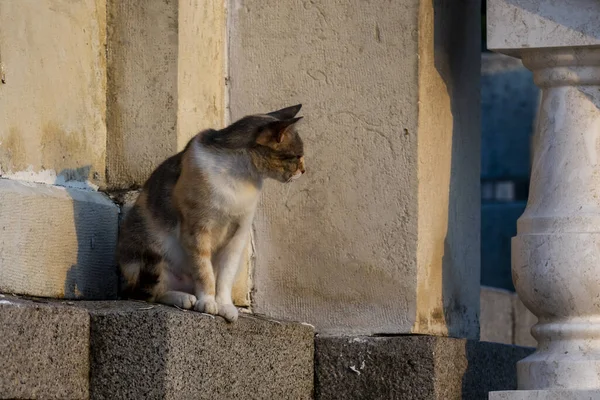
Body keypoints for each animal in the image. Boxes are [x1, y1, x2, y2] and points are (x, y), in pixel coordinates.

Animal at [116, 104, 304, 322]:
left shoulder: (238, 235)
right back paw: (185, 298)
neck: (240, 178)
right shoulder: (196, 229)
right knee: (152, 292)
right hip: (150, 256)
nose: (304, 170)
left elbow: (224, 276)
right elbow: (204, 270)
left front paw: (225, 305)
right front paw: (207, 302)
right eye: (297, 156)